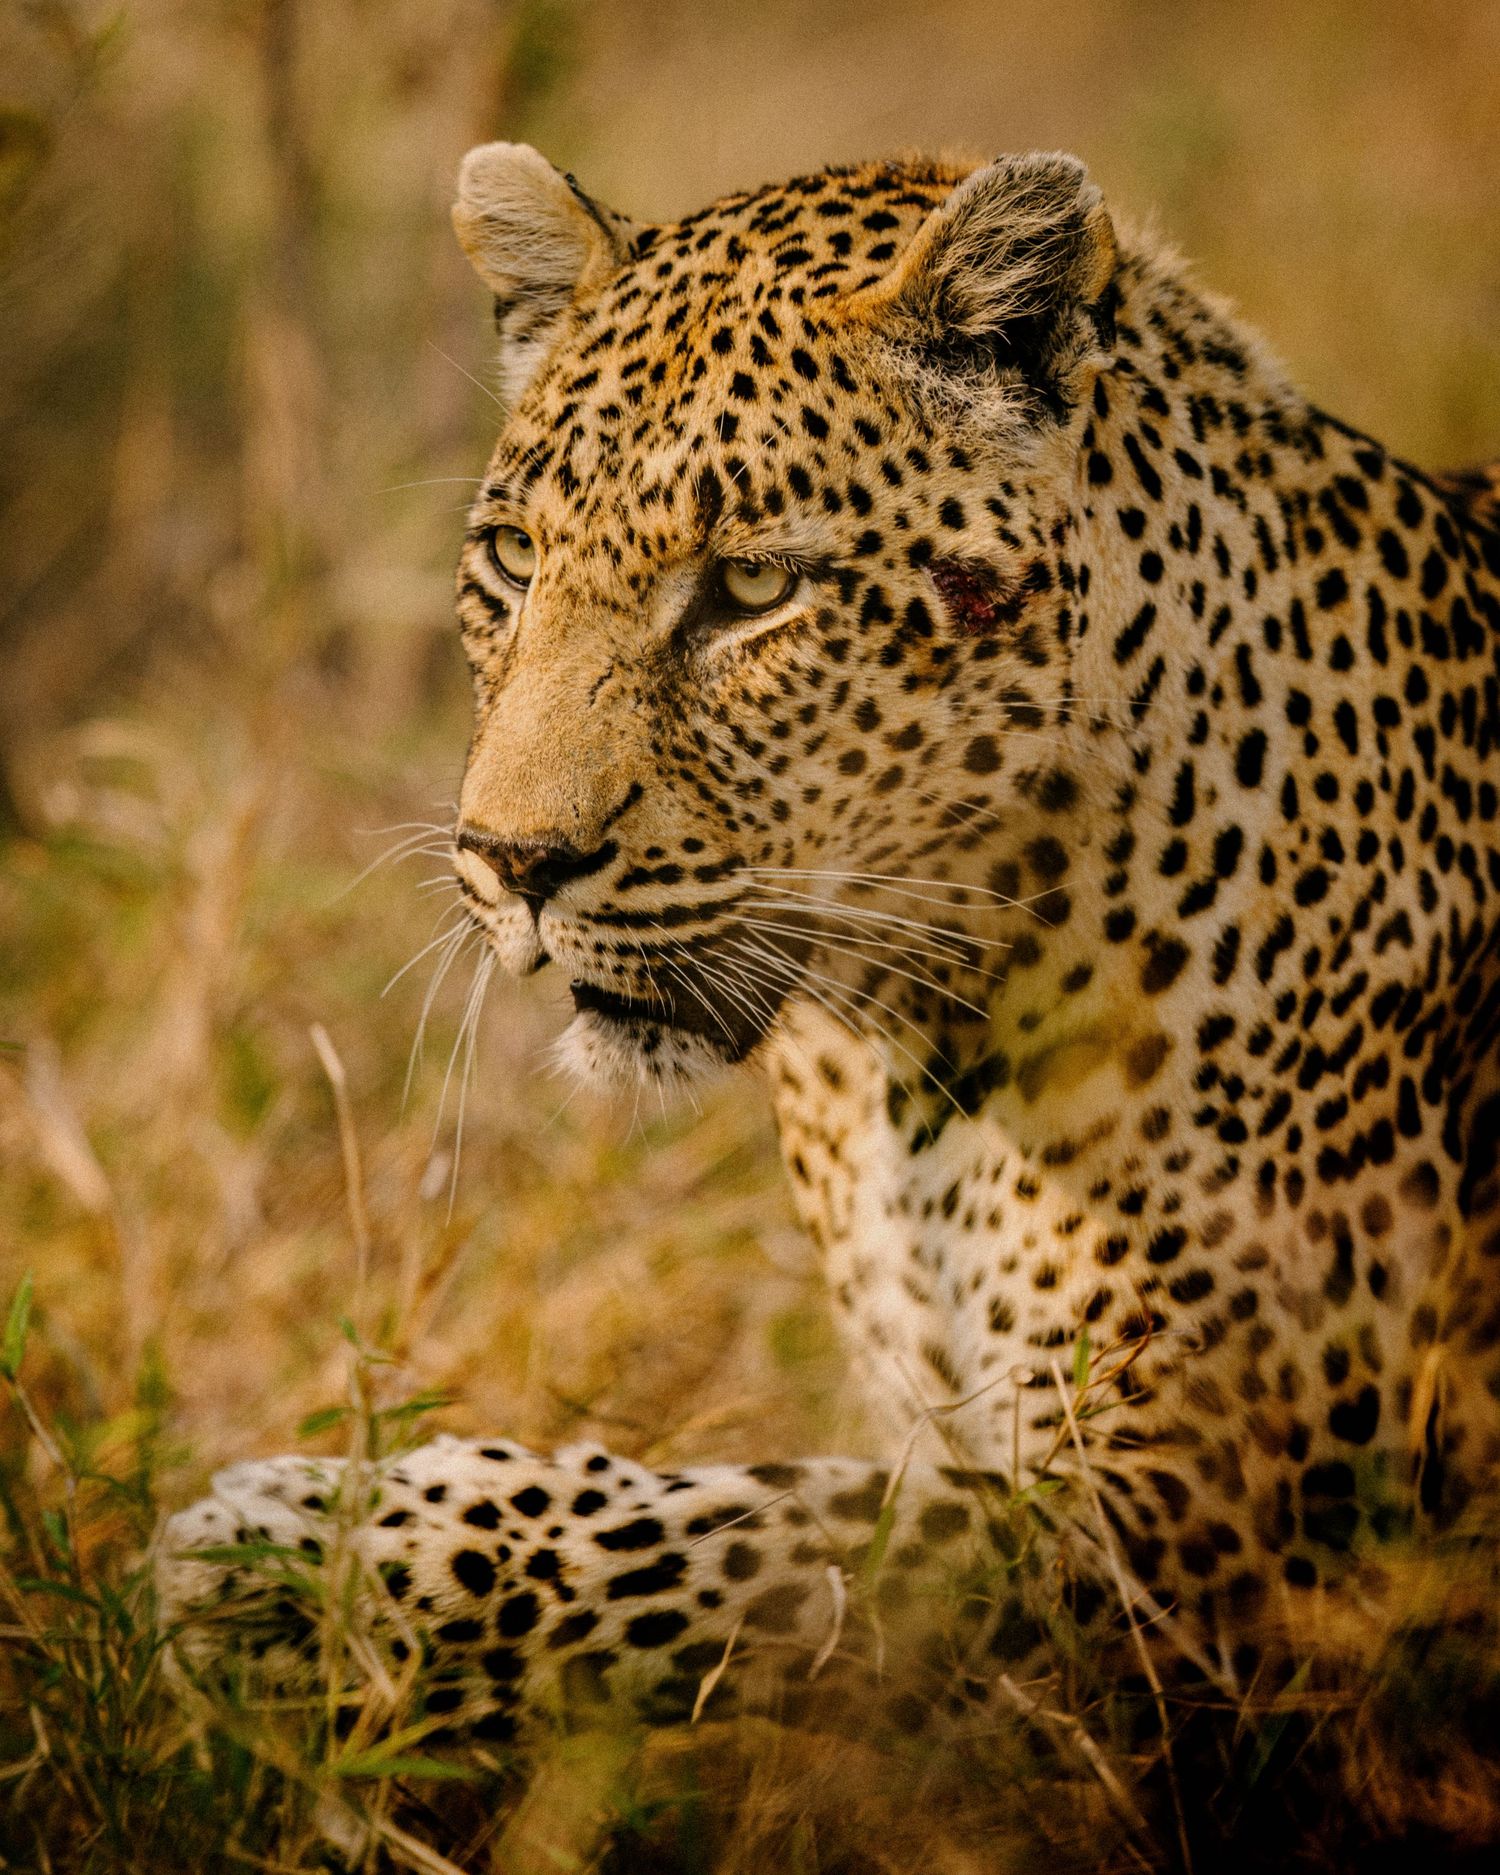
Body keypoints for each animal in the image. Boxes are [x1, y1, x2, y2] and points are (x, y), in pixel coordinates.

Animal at [161, 141, 1500, 1761]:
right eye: (513, 559)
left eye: (754, 591)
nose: (509, 861)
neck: (911, 1048)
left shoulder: (1207, 1511)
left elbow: (755, 1539)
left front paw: (302, 1559)